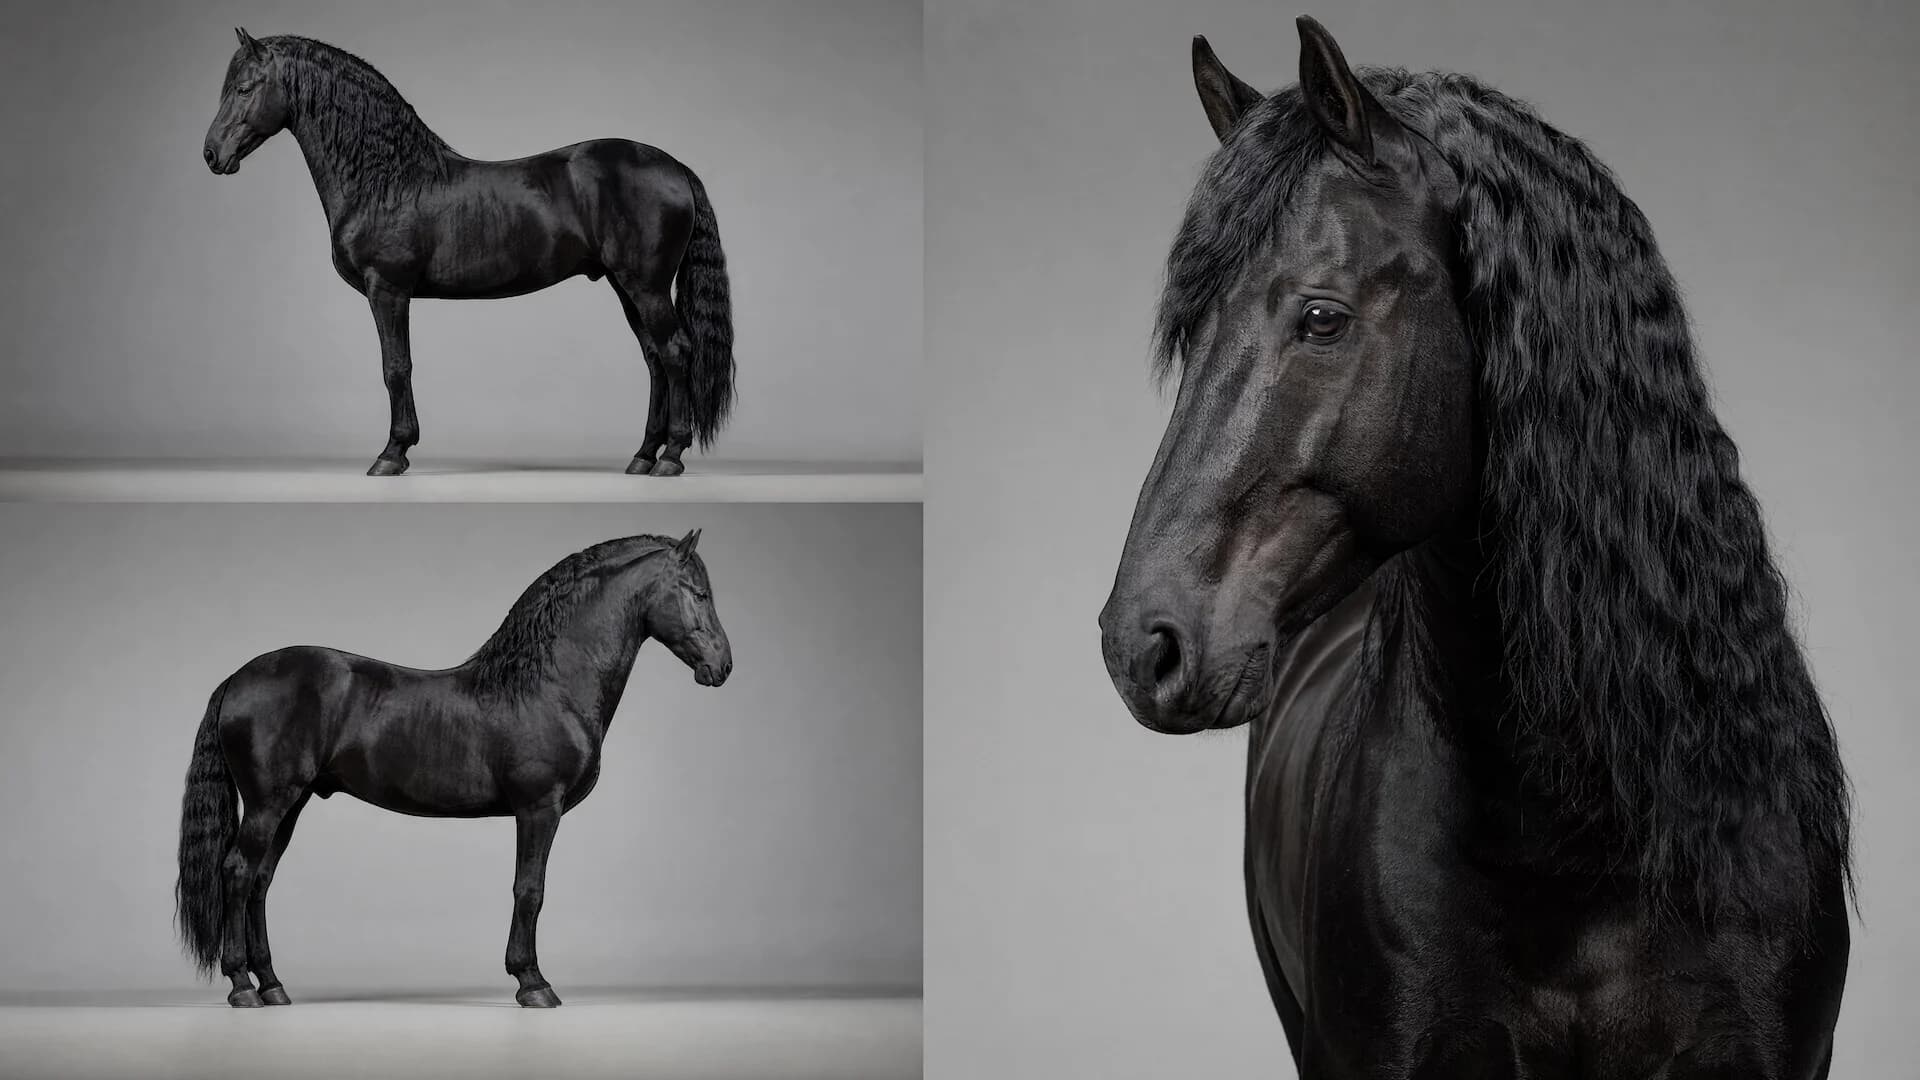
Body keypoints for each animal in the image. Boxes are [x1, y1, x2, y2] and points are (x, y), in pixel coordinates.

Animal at [175, 529, 732, 1008]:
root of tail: (237, 678)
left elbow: (528, 890)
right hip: (269, 803)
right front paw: (532, 982)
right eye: (698, 593)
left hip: (291, 804)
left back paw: (272, 984)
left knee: (261, 880)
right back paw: (242, 985)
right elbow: (529, 890)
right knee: (238, 872)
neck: (549, 684)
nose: (722, 666)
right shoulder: (539, 809)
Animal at [201, 29, 735, 477]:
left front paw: (392, 453)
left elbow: (396, 367)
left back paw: (670, 456)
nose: (211, 154)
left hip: (646, 287)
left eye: (245, 89)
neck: (386, 178)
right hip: (627, 288)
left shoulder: (387, 290)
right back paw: (643, 455)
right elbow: (398, 367)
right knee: (655, 358)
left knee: (675, 351)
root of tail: (675, 166)